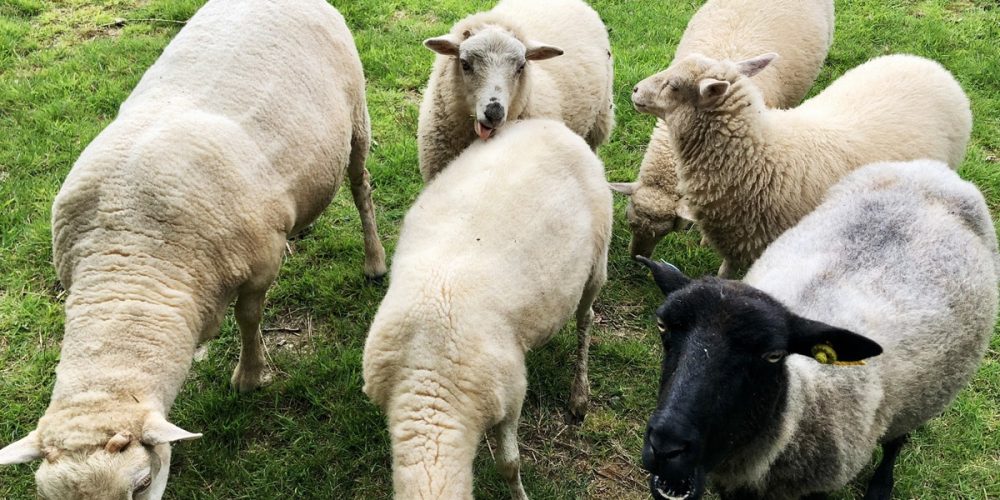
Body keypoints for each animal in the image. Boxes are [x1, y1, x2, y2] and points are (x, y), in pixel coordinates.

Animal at [0, 1, 386, 498]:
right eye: (46, 495)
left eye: (143, 481)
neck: (130, 255)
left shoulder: (257, 267)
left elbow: (248, 319)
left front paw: (249, 376)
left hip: (356, 118)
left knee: (361, 188)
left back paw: (375, 261)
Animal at [363, 119, 612, 499]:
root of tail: (553, 126)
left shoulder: (509, 396)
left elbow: (509, 464)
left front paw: (521, 495)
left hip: (597, 261)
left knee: (586, 319)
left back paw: (579, 394)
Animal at [636, 159, 998, 500]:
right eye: (663, 326)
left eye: (773, 355)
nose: (666, 447)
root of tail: (937, 172)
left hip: (925, 394)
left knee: (897, 440)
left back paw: (881, 485)